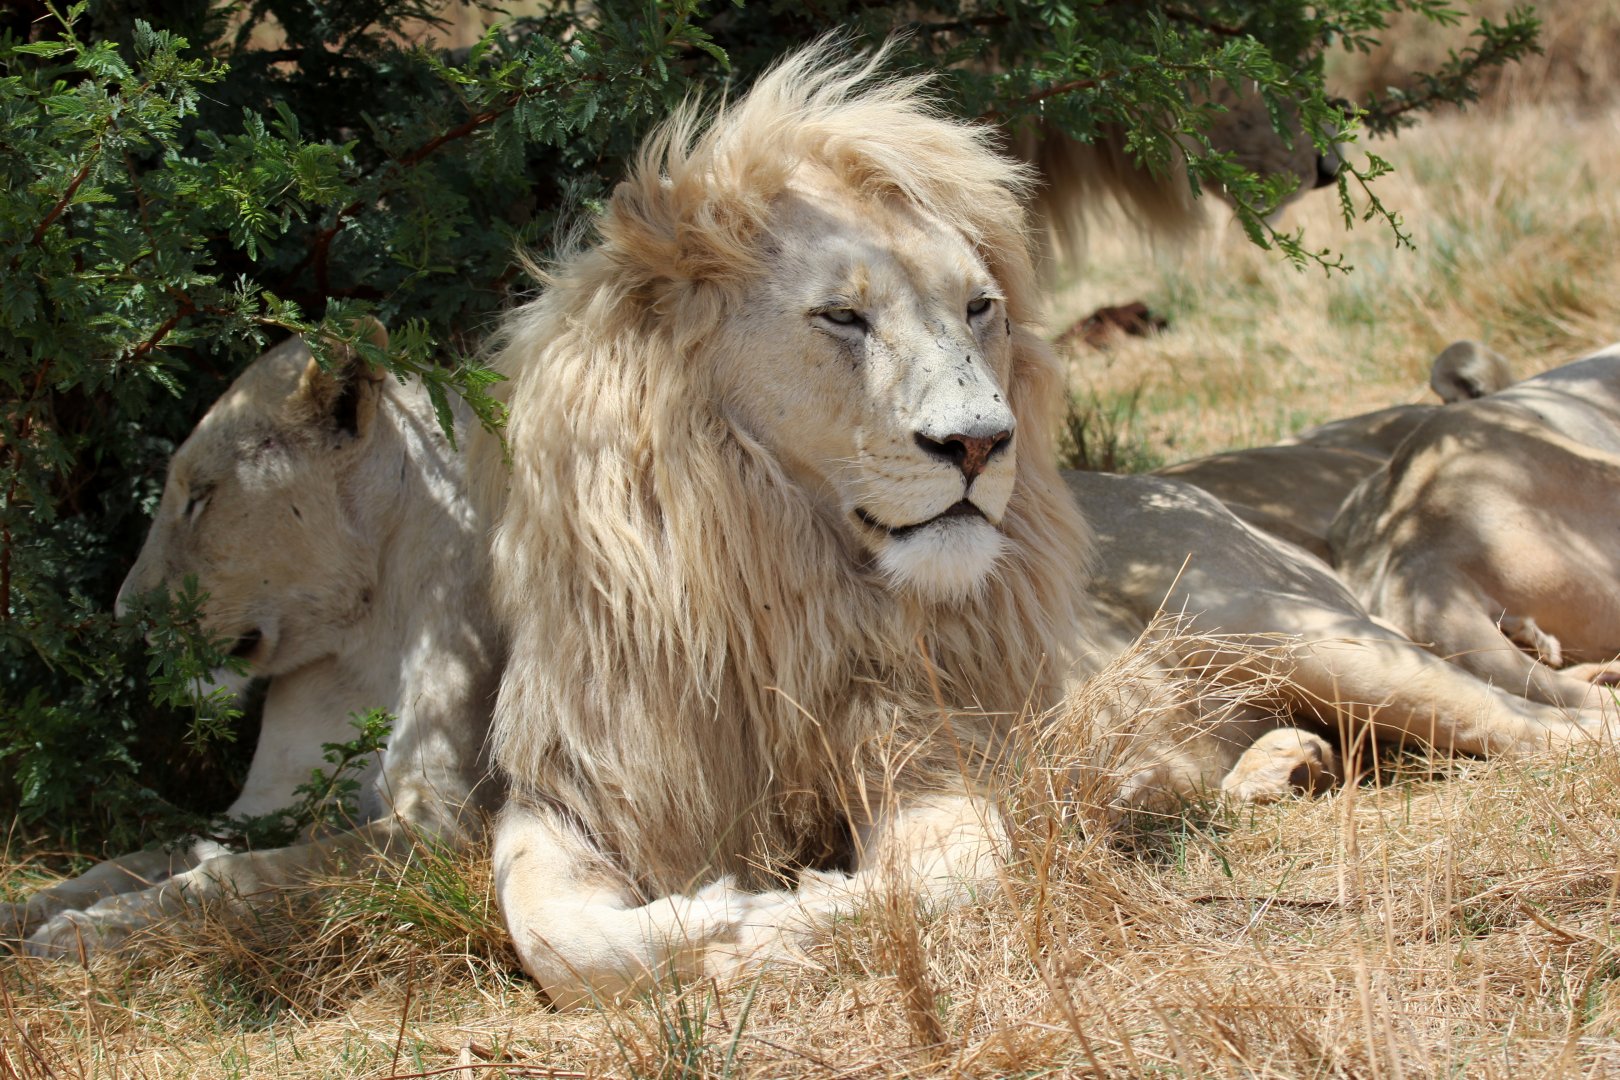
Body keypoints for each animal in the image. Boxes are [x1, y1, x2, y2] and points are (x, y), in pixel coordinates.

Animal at [6, 325, 501, 959]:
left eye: (200, 496)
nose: (124, 616)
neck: (367, 630)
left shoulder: (445, 819)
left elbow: (242, 873)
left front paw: (89, 928)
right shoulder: (265, 803)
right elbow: (132, 858)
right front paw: (28, 909)